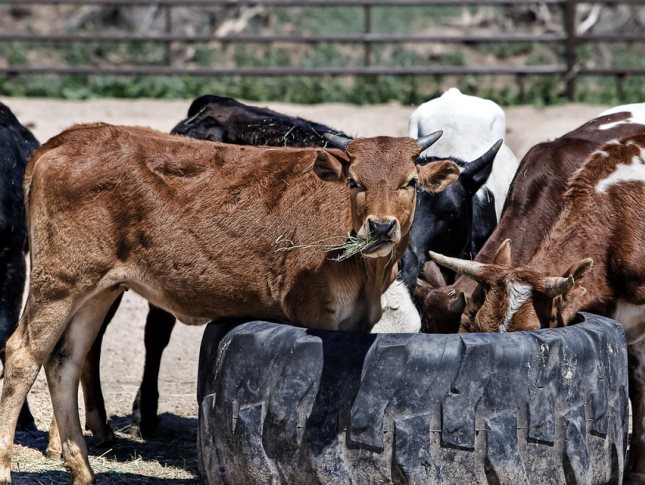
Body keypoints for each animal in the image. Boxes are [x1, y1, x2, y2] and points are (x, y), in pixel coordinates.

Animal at [0, 123, 458, 482]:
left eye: (410, 182)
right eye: (354, 181)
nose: (380, 227)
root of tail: (65, 140)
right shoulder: (315, 313)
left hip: (98, 289)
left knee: (66, 360)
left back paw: (82, 470)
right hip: (59, 282)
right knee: (22, 354)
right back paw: (7, 468)